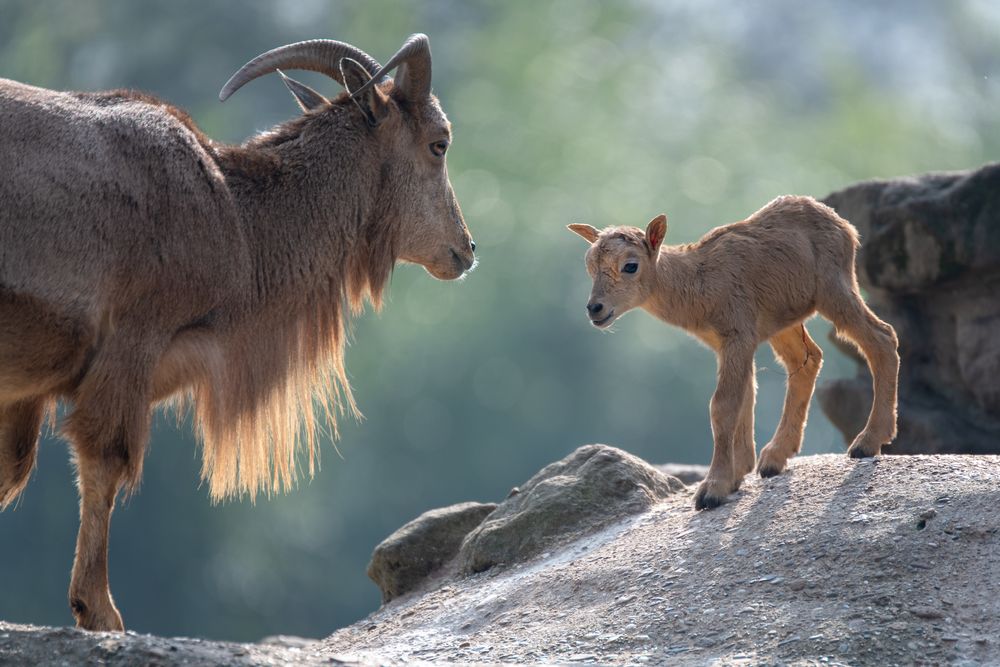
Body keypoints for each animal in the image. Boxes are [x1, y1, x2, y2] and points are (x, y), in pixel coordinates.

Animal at [0, 34, 476, 636]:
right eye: (439, 144)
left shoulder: (25, 392)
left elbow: (11, 470)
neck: (231, 210)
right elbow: (105, 459)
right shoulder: (131, 346)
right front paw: (100, 611)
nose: (466, 249)